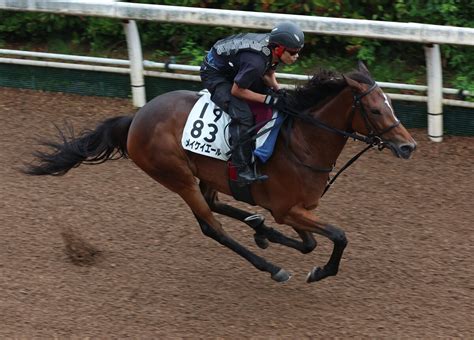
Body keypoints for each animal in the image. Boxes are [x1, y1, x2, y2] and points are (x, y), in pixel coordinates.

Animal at [23, 62, 414, 282]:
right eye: (376, 110)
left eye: (392, 106)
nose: (408, 146)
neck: (302, 141)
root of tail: (135, 119)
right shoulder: (288, 209)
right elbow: (338, 236)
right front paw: (320, 271)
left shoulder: (295, 210)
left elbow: (310, 242)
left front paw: (267, 233)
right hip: (176, 177)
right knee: (211, 226)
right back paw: (271, 267)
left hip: (208, 175)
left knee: (217, 204)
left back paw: (258, 228)